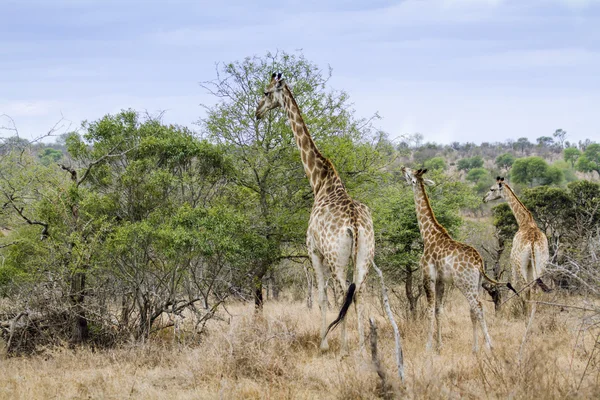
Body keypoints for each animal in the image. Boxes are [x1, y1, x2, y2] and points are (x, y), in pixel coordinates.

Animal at [254, 72, 376, 354]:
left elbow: (321, 297)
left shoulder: (313, 250)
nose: (257, 112)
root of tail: (355, 224)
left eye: (266, 93)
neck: (319, 181)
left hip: (336, 257)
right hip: (365, 255)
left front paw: (324, 345)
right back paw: (361, 347)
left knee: (344, 293)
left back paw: (344, 348)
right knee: (360, 292)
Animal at [398, 167, 516, 352]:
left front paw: (428, 345)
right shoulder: (441, 280)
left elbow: (429, 310)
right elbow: (438, 309)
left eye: (410, 174)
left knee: (478, 307)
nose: (402, 168)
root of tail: (479, 263)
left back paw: (490, 346)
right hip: (475, 284)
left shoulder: (428, 276)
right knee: (473, 309)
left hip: (465, 283)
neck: (428, 235)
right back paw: (475, 348)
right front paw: (439, 345)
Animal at [480, 177, 552, 314]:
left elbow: (511, 284)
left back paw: (524, 314)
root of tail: (533, 243)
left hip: (521, 264)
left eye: (492, 189)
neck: (524, 221)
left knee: (525, 288)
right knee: (534, 288)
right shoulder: (530, 266)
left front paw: (507, 311)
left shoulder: (512, 261)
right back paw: (531, 315)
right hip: (541, 264)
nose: (484, 198)